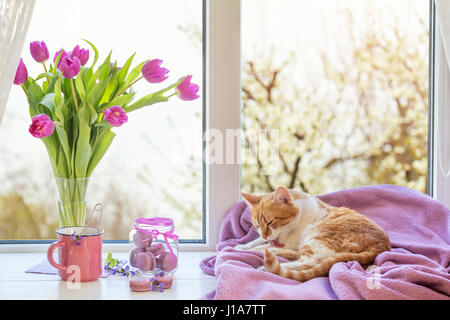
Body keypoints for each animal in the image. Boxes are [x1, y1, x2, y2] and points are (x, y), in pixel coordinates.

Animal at [239, 186, 390, 282]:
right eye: (258, 226)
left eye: (270, 222)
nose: (265, 235)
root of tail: (383, 245)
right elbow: (257, 241)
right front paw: (243, 246)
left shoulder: (291, 242)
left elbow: (266, 245)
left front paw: (256, 248)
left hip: (317, 238)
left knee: (311, 262)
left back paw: (266, 267)